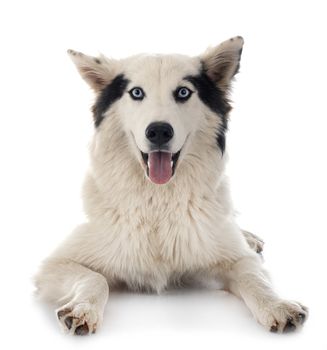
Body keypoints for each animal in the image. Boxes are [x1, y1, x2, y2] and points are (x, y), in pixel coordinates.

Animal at [34, 37, 308, 334]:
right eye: (137, 93)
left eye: (183, 92)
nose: (159, 132)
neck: (159, 200)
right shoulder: (55, 263)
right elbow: (96, 279)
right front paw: (83, 309)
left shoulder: (237, 258)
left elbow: (255, 279)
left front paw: (276, 305)